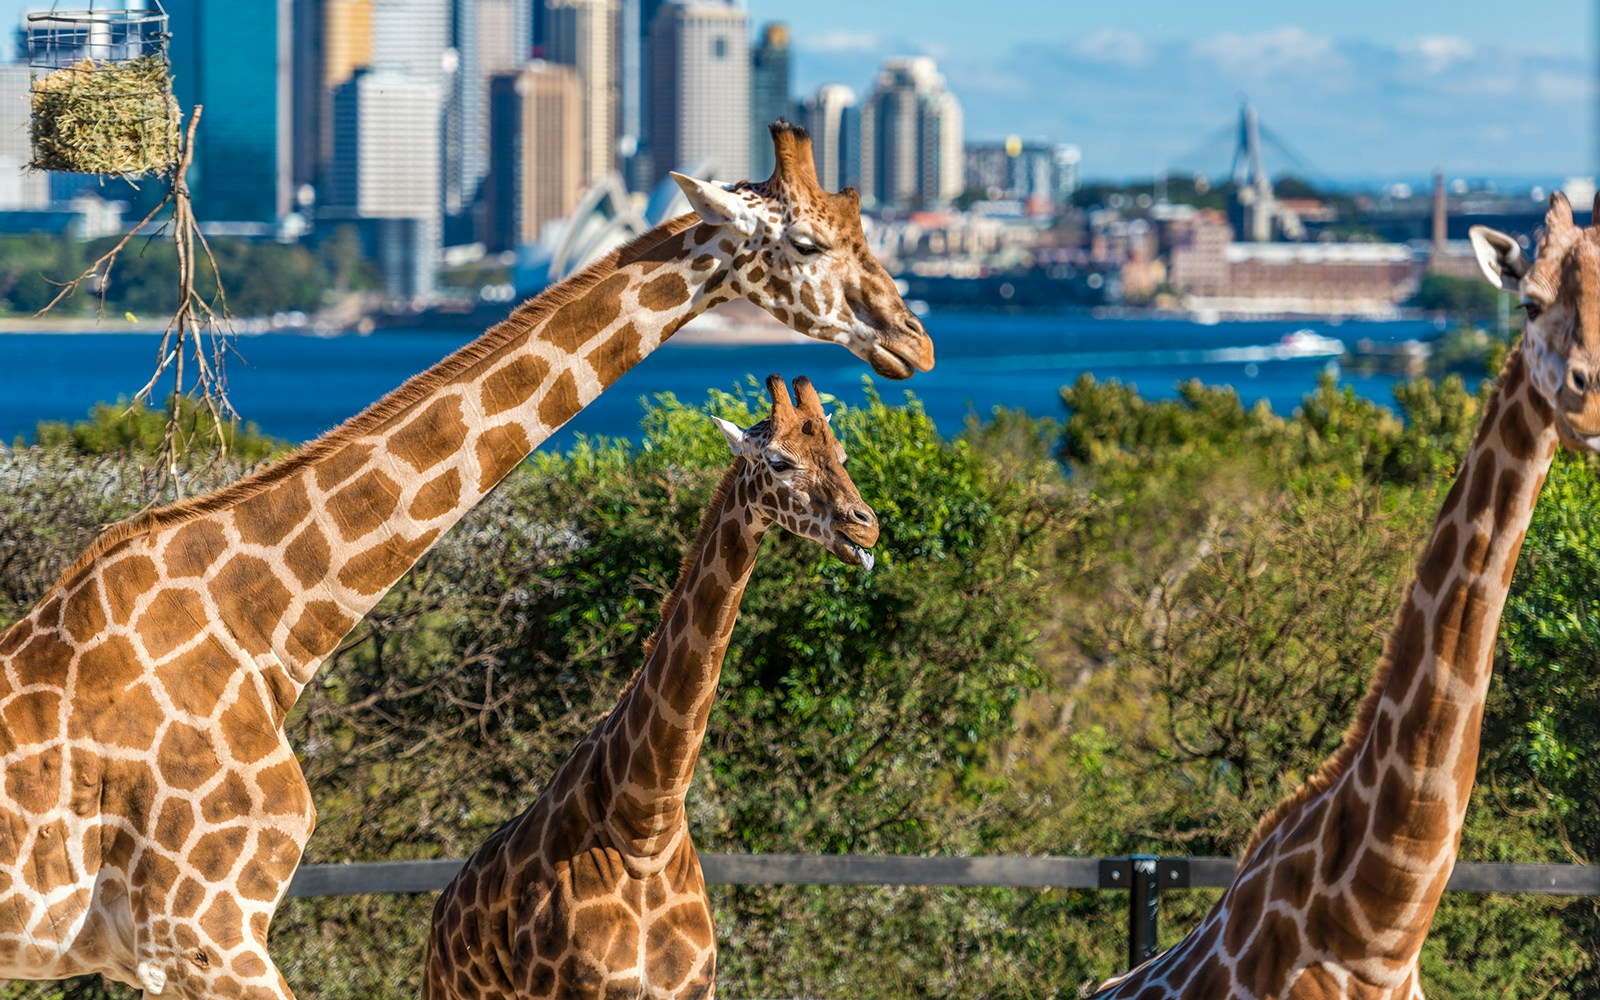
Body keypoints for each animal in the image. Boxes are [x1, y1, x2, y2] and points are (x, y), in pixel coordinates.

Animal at [419, 374, 883, 998]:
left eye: (842, 456)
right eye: (780, 461)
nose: (866, 524)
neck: (645, 827)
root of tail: (440, 915)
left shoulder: (695, 988)